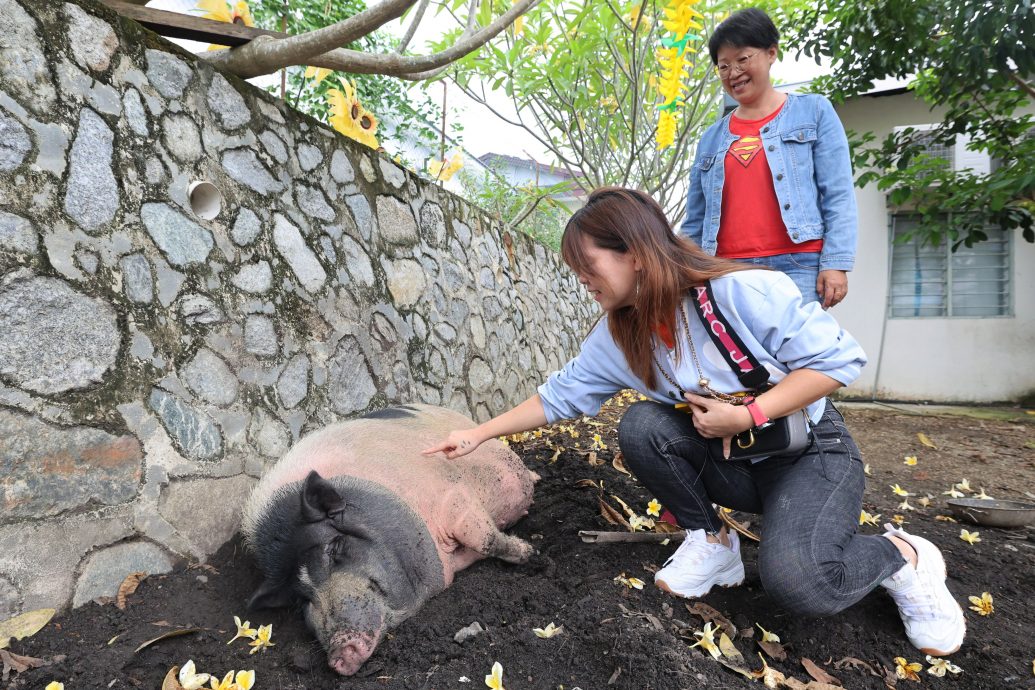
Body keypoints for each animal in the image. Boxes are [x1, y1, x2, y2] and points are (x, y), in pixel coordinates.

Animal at [239, 401, 538, 678]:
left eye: (334, 548)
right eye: (302, 598)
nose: (338, 657)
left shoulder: (452, 495)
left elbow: (485, 538)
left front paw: (529, 553)